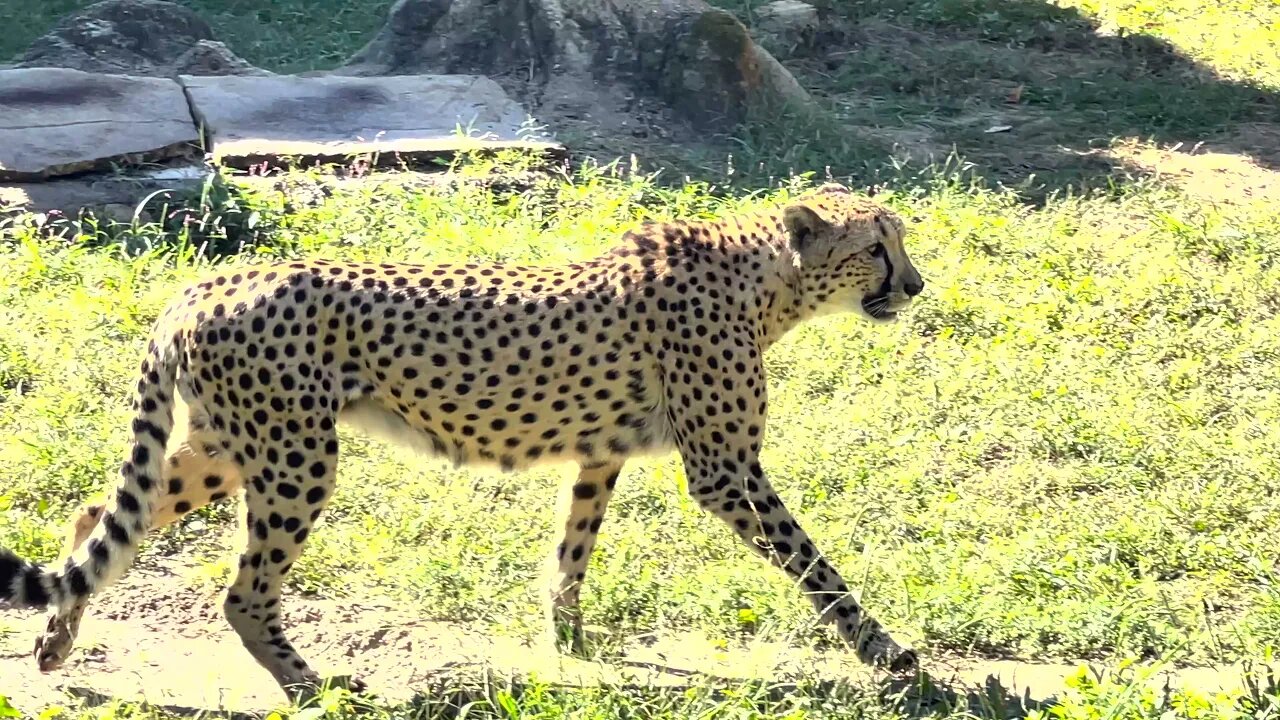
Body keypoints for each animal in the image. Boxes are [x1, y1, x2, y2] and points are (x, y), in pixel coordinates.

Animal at [0, 181, 921, 696]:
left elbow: (572, 550)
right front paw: (884, 650)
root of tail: (203, 282)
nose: (915, 284)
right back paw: (311, 684)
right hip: (296, 456)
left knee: (100, 515)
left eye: (900, 240)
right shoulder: (727, 470)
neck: (768, 280)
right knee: (243, 592)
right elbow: (814, 563)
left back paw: (55, 643)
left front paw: (569, 641)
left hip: (232, 446)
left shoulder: (601, 454)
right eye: (877, 247)